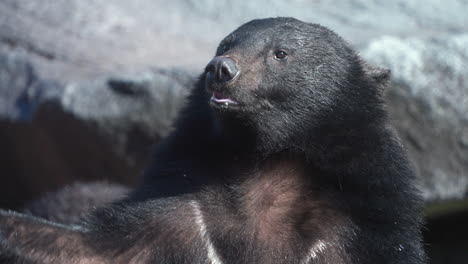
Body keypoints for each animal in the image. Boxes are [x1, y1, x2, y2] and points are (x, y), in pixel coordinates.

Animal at [0, 17, 426, 262]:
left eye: (280, 53)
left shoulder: (358, 228)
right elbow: (93, 249)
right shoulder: (183, 215)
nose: (221, 68)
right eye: (224, 44)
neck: (261, 162)